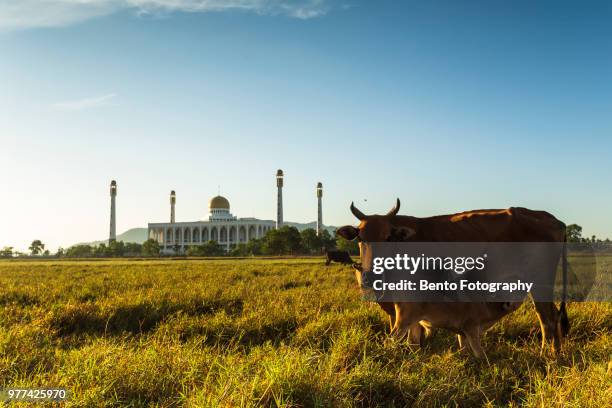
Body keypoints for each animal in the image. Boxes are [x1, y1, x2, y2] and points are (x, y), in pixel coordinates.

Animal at [334, 199, 568, 358]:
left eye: (388, 237)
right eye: (360, 238)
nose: (370, 276)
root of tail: (554, 220)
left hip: (540, 284)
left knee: (547, 320)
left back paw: (547, 356)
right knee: (554, 318)